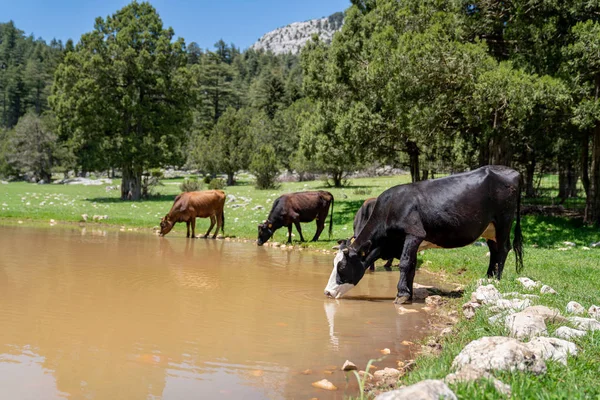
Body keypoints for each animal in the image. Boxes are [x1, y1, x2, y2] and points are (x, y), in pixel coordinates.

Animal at [326, 165, 524, 304]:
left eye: (341, 267)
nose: (326, 292)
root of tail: (513, 171)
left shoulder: (414, 233)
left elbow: (405, 263)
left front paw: (401, 295)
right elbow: (412, 266)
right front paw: (409, 294)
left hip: (504, 221)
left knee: (503, 249)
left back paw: (496, 279)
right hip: (489, 228)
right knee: (494, 249)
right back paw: (487, 278)